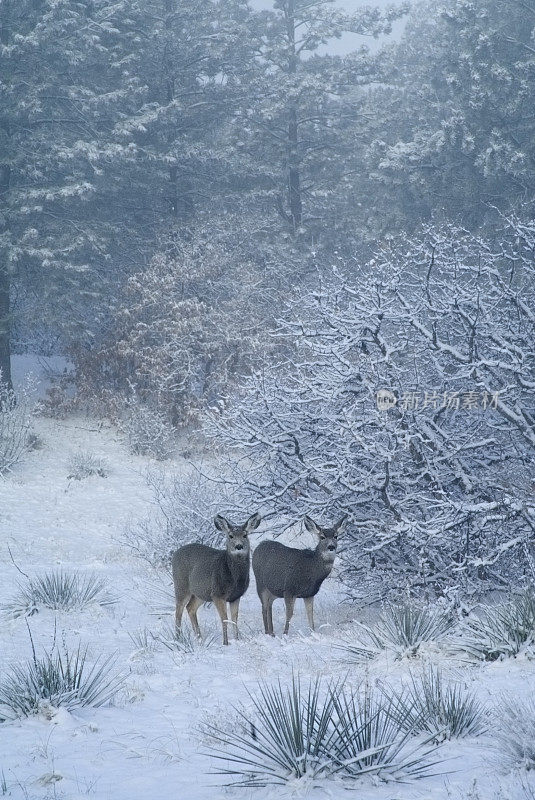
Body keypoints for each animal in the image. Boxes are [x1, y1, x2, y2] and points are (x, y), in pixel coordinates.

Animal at [172, 512, 262, 644]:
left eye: (245, 535)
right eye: (230, 536)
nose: (239, 546)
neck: (234, 578)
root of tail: (175, 553)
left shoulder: (235, 596)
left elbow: (234, 619)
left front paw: (237, 639)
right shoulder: (218, 594)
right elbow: (224, 618)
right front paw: (226, 643)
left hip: (201, 593)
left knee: (190, 607)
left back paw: (199, 638)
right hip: (181, 585)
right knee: (178, 610)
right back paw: (178, 639)